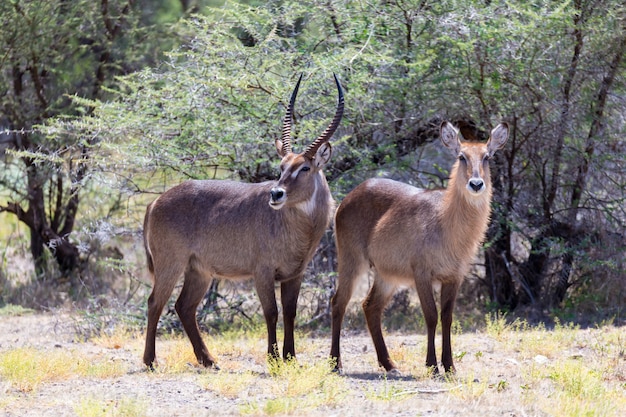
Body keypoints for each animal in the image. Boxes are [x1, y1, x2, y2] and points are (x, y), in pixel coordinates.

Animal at [143, 74, 344, 368]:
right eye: (282, 167)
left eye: (305, 167)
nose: (276, 193)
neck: (300, 228)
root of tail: (156, 201)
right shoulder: (262, 272)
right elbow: (271, 312)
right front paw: (274, 359)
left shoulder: (295, 274)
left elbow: (290, 312)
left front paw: (291, 358)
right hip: (170, 263)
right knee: (155, 302)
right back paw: (151, 361)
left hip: (199, 270)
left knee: (184, 306)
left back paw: (208, 360)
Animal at [326, 121, 508, 374]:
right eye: (461, 156)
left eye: (487, 157)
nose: (476, 184)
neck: (446, 222)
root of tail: (349, 196)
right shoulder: (422, 273)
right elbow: (431, 315)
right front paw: (432, 365)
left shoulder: (454, 277)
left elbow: (447, 317)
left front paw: (450, 366)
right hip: (352, 262)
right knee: (338, 303)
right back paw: (336, 364)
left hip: (386, 274)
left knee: (370, 307)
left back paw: (389, 364)